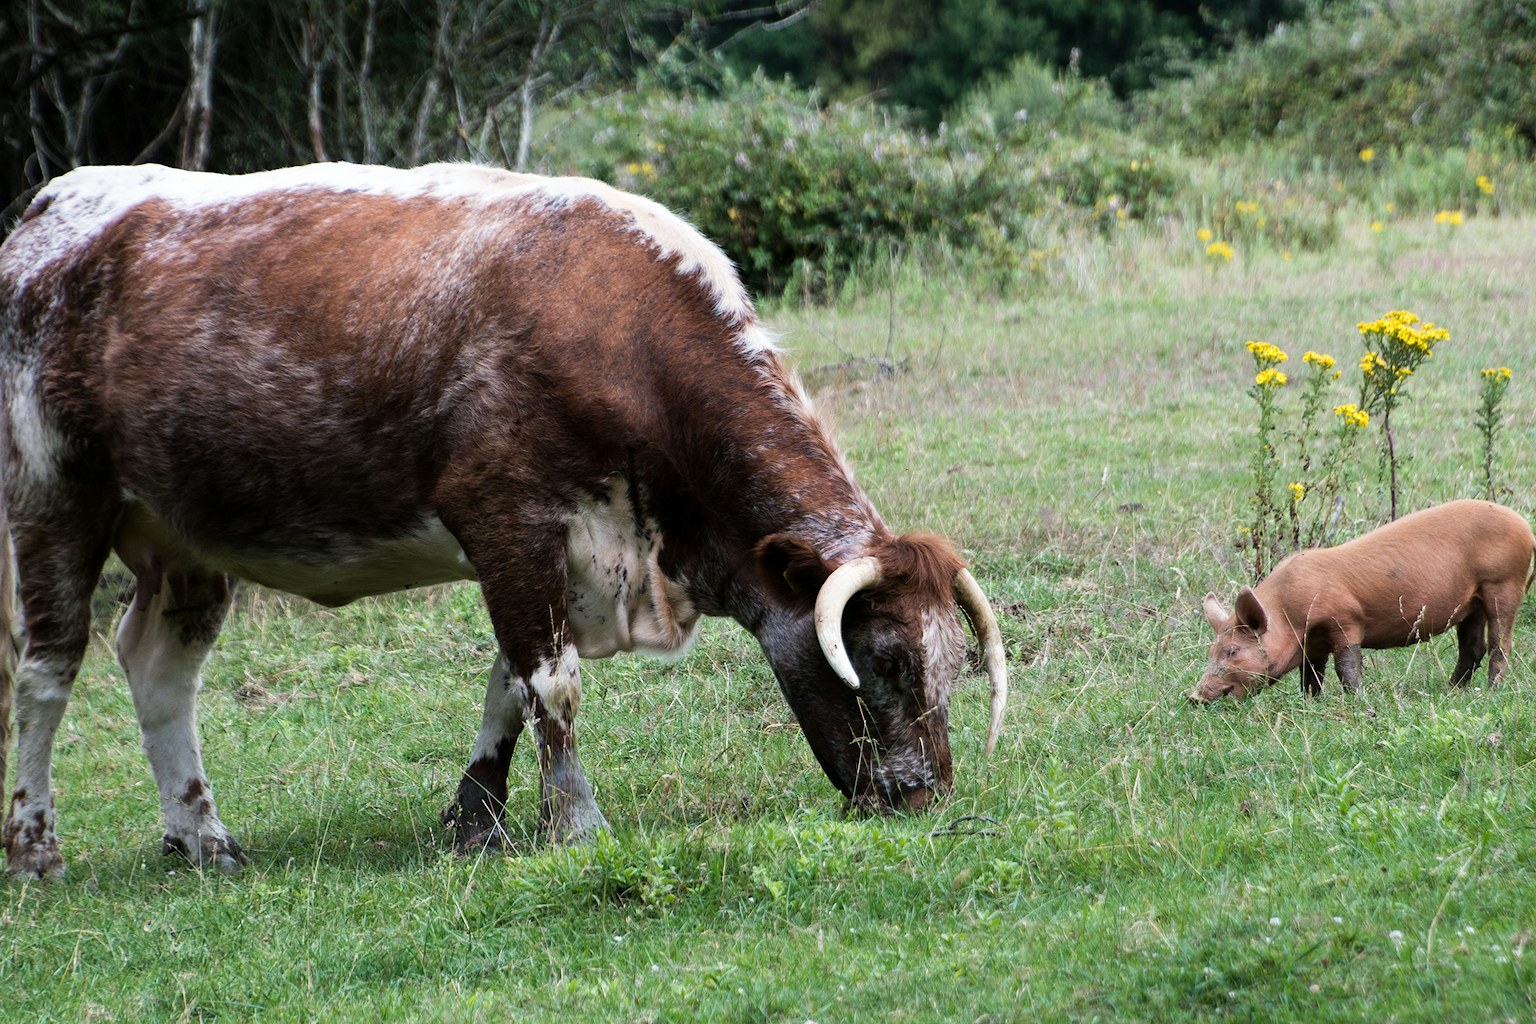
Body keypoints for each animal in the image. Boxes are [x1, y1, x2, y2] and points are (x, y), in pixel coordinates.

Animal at [0, 162, 1007, 880]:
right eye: (884, 659)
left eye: (953, 661)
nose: (925, 796)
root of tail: (49, 205)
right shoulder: (506, 516)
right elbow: (551, 684)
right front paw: (577, 823)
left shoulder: (553, 550)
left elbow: (507, 688)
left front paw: (475, 817)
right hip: (51, 495)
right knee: (47, 673)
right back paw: (35, 848)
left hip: (182, 534)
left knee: (160, 670)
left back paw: (201, 836)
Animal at [1192, 500, 1535, 702]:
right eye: (1212, 651)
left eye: (1232, 651)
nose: (1194, 697)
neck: (1291, 614)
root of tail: (1526, 528)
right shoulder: (1312, 644)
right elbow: (1311, 673)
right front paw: (1311, 702)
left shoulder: (1346, 620)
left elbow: (1347, 666)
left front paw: (1356, 700)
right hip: (1471, 604)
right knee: (1472, 648)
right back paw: (1452, 690)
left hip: (1504, 583)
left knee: (1500, 644)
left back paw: (1491, 692)